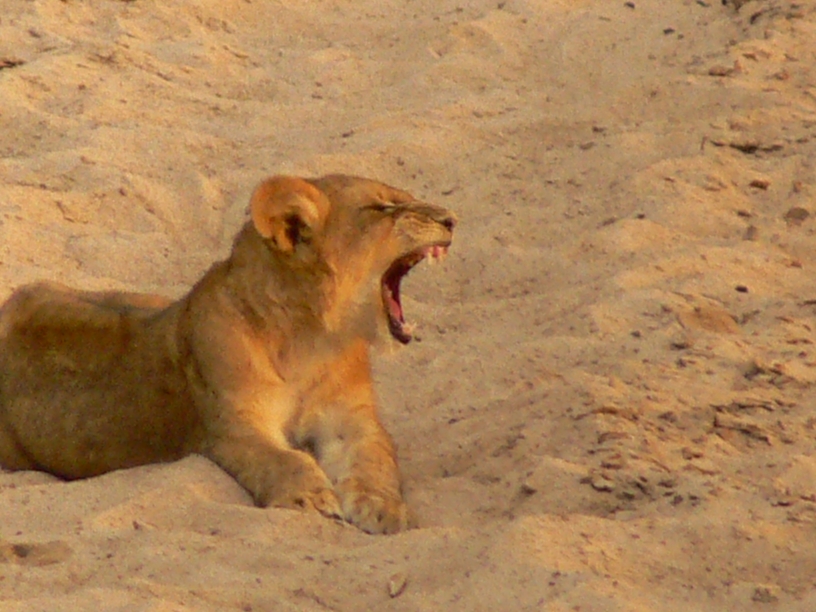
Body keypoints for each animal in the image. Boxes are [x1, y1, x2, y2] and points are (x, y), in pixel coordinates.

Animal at [0, 174, 456, 535]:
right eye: (383, 207)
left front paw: (385, 508)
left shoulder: (352, 420)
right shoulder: (233, 426)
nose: (451, 219)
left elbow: (375, 459)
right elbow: (284, 459)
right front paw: (311, 498)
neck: (314, 340)